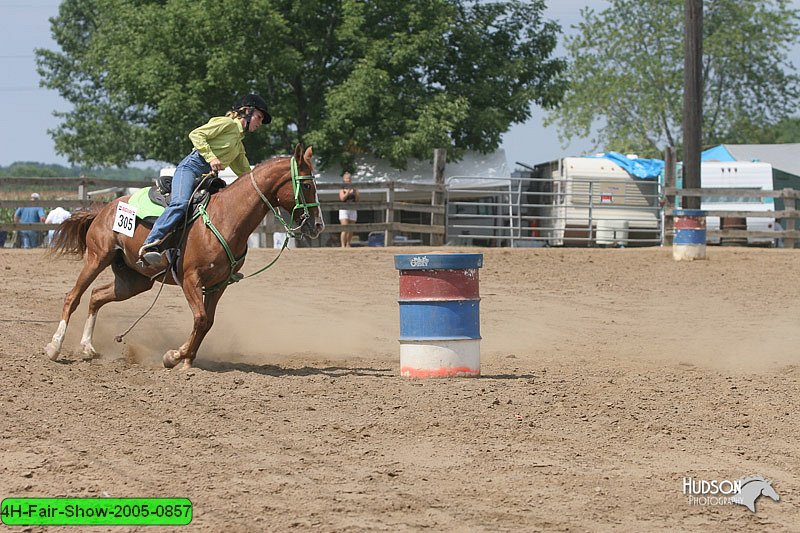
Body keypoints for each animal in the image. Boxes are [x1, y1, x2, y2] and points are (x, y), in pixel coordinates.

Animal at [43, 143, 324, 368]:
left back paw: (87, 347)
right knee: (73, 297)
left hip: (135, 280)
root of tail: (103, 209)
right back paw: (55, 347)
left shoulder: (218, 284)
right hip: (97, 257)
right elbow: (200, 318)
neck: (227, 216)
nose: (318, 225)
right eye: (307, 184)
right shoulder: (191, 278)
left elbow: (207, 322)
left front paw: (186, 359)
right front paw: (175, 356)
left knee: (96, 296)